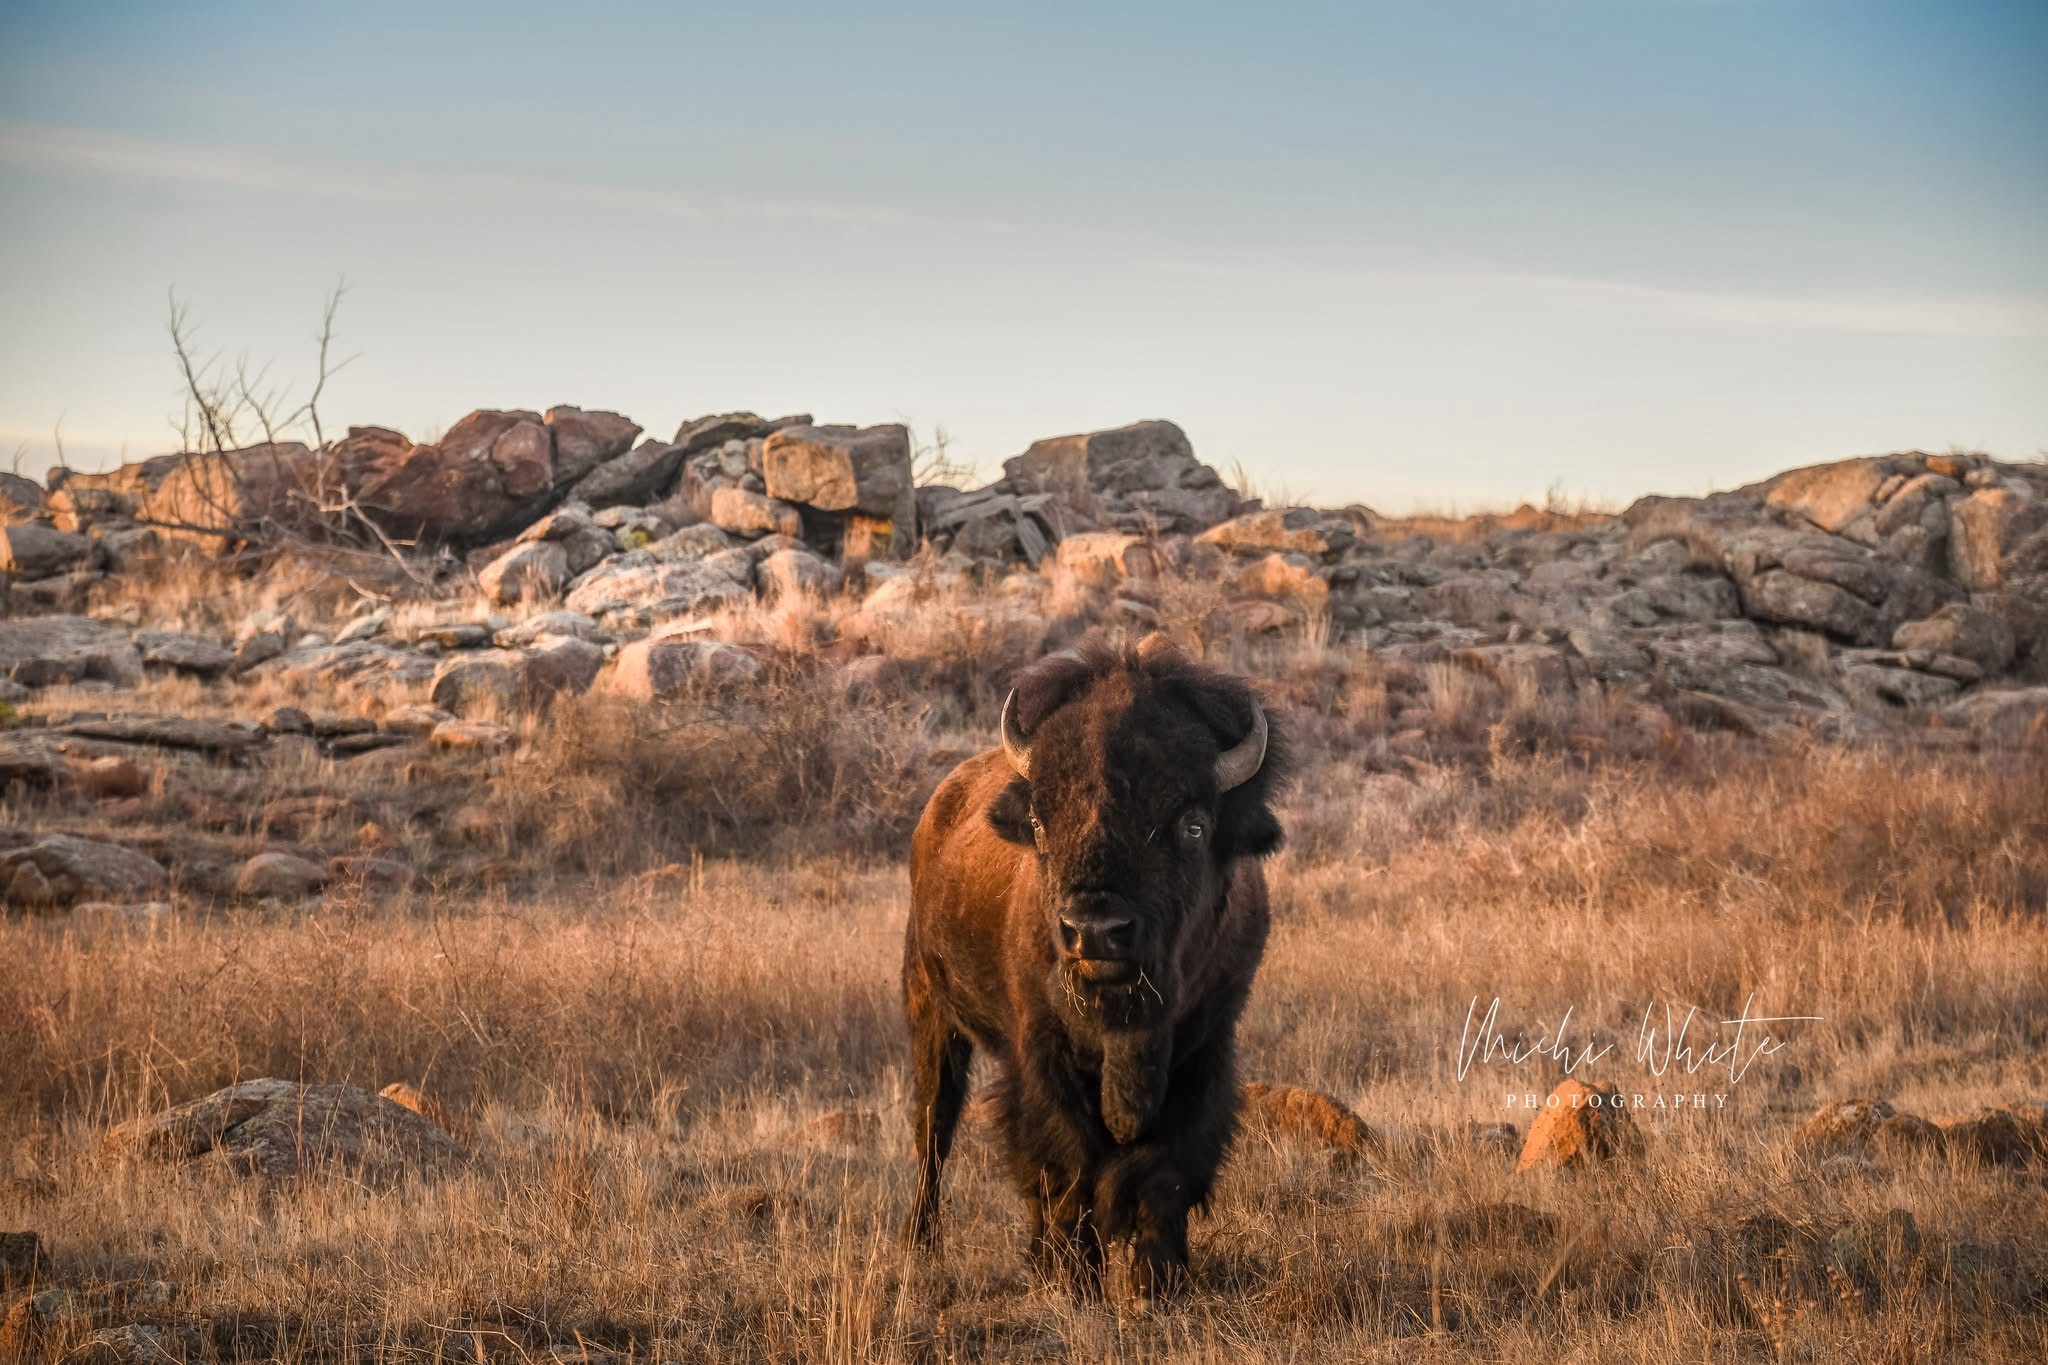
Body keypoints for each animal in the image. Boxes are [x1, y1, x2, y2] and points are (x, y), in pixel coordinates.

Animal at [897, 634, 1277, 1301]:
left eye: (1193, 825)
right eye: (1041, 821)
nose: (1094, 932)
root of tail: (939, 806)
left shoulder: (1206, 1047)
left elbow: (1166, 1169)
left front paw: (1158, 1280)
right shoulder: (1042, 1052)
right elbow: (1069, 1163)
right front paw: (1078, 1281)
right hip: (931, 1013)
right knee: (934, 1130)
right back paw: (925, 1245)